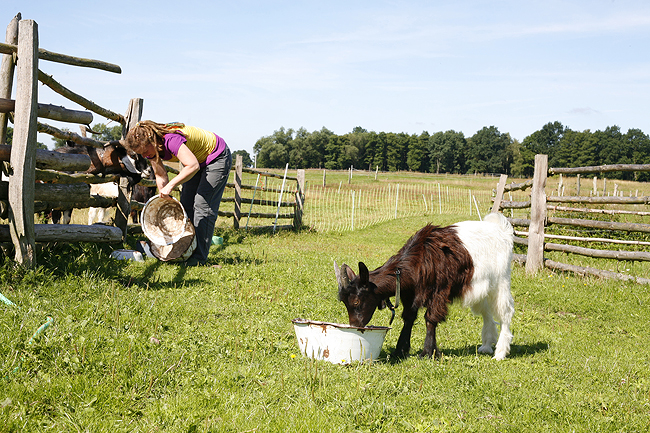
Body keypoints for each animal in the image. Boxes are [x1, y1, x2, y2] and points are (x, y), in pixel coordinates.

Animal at [334, 212, 512, 358]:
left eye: (356, 301)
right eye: (344, 302)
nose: (355, 326)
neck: (417, 261)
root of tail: (501, 230)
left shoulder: (439, 291)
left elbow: (430, 318)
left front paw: (428, 352)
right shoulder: (410, 294)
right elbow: (408, 318)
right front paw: (400, 351)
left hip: (501, 281)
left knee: (505, 313)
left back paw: (500, 353)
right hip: (480, 288)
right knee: (487, 313)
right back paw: (486, 347)